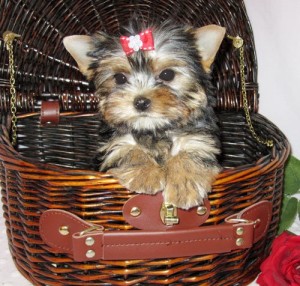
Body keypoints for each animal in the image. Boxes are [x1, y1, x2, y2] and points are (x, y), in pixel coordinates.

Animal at [64, 19, 226, 208]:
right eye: (119, 78)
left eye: (167, 74)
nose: (140, 102)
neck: (155, 130)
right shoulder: (115, 143)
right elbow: (127, 149)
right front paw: (145, 174)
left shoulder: (200, 138)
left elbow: (191, 151)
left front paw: (184, 185)